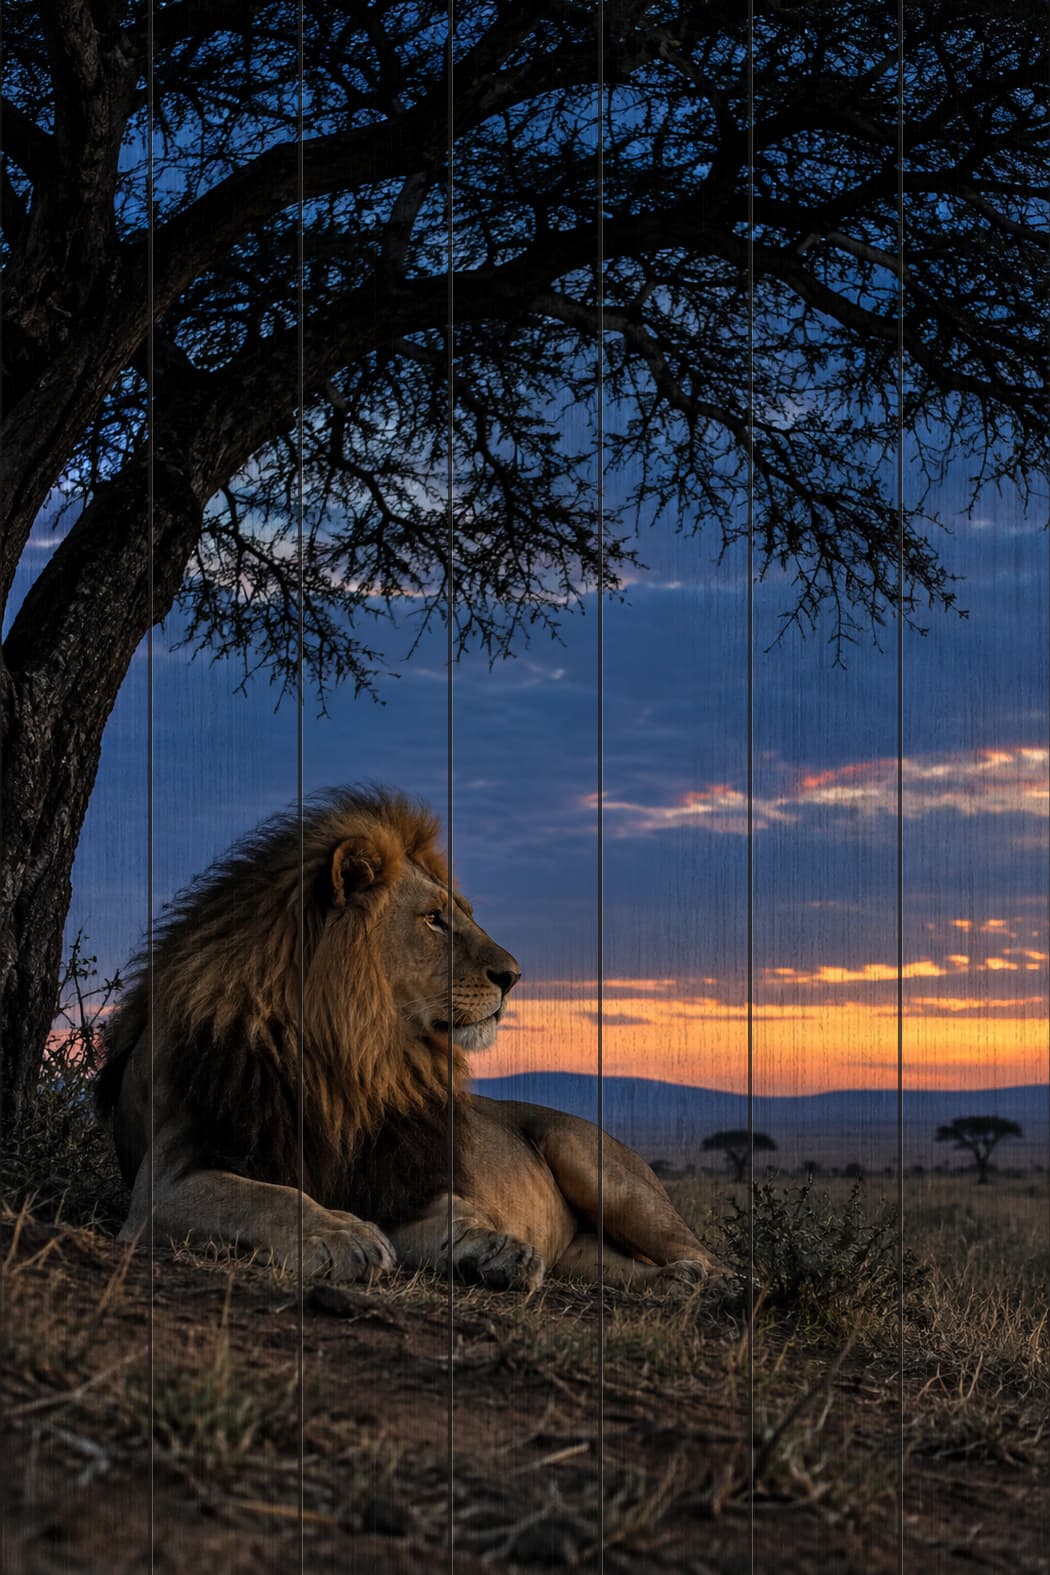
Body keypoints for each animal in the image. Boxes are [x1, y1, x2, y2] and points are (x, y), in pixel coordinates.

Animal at [96, 787, 724, 1293]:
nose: (515, 976)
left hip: (594, 1162)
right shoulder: (162, 1184)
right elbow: (266, 1195)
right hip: (584, 1251)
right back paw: (667, 1283)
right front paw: (342, 1234)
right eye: (434, 919)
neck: (348, 1057)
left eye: (463, 914)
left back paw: (701, 1282)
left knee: (703, 1254)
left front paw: (494, 1248)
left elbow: (452, 1212)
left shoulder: (397, 1183)